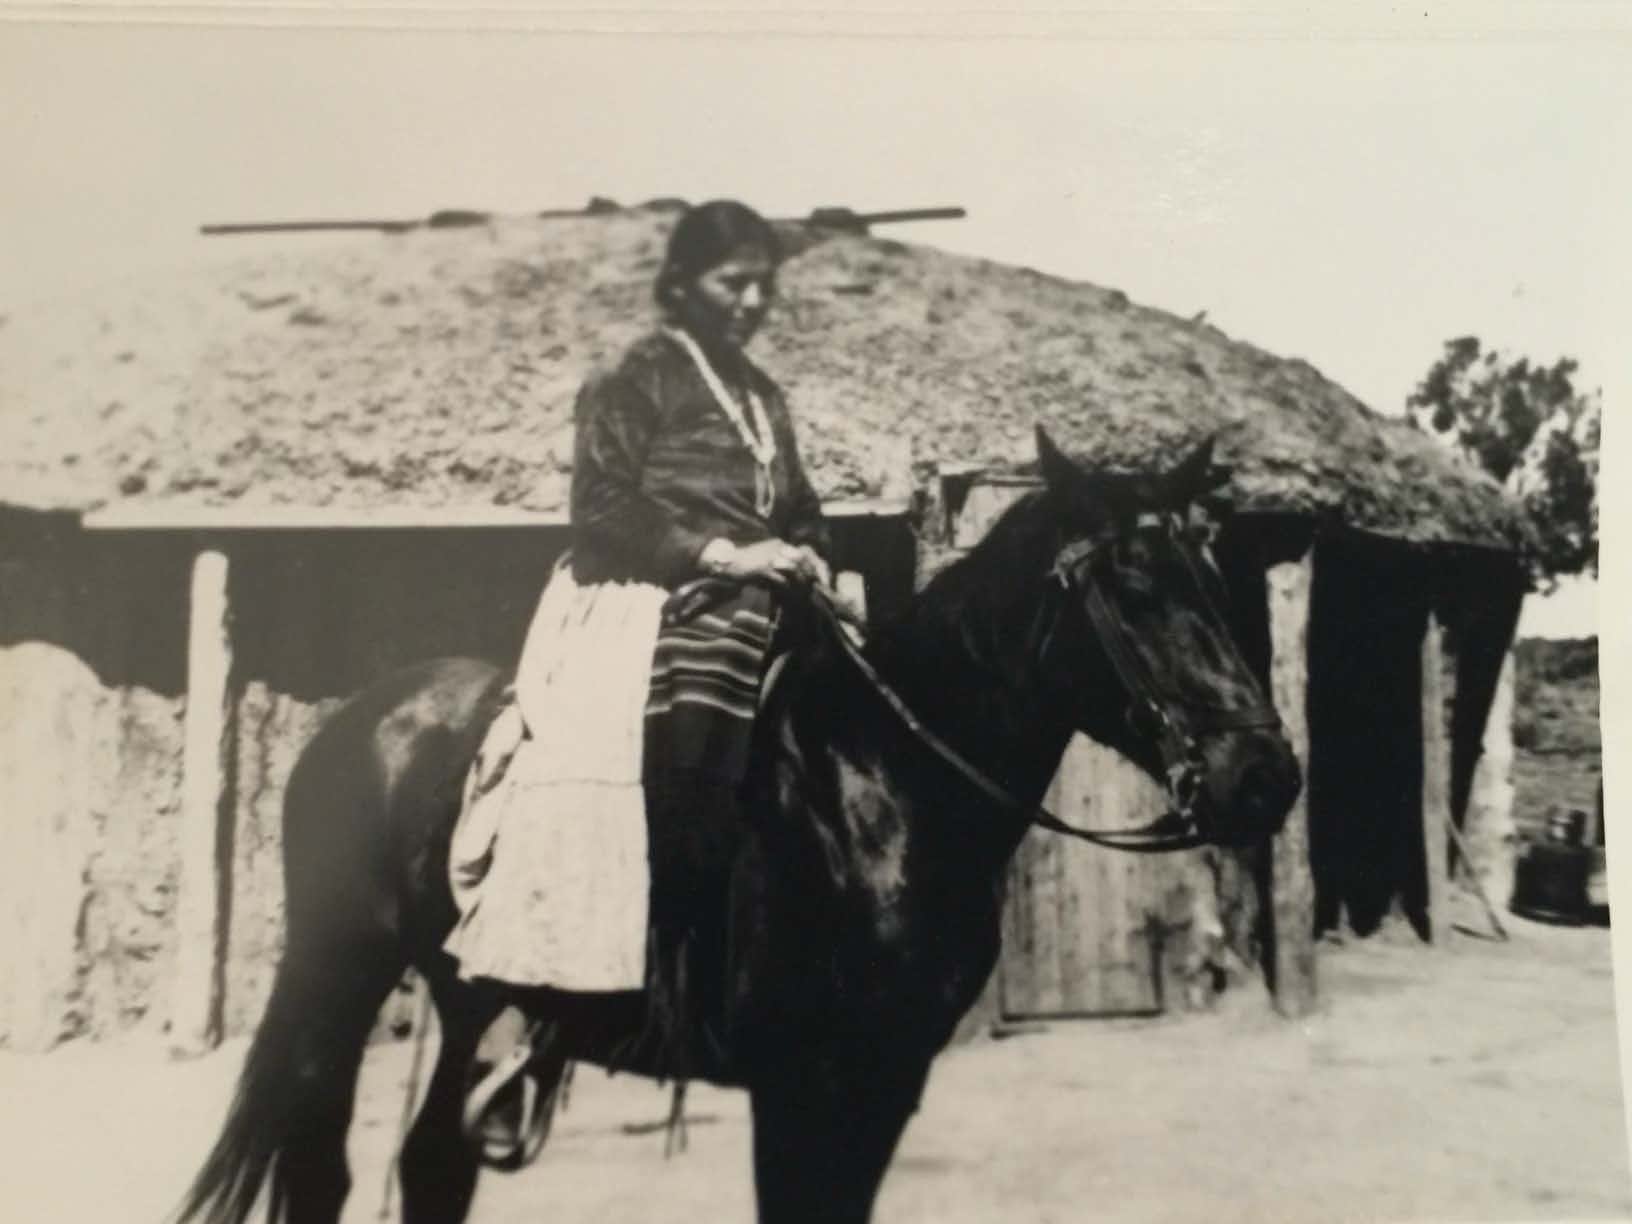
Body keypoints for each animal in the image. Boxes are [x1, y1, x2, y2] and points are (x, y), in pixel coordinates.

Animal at [174, 428, 1300, 1224]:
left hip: (465, 997)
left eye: (1215, 578)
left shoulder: (884, 1081)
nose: (1262, 778)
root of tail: (361, 720)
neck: (882, 788)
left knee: (432, 1167)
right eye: (1133, 587)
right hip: (337, 976)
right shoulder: (802, 1082)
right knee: (324, 1173)